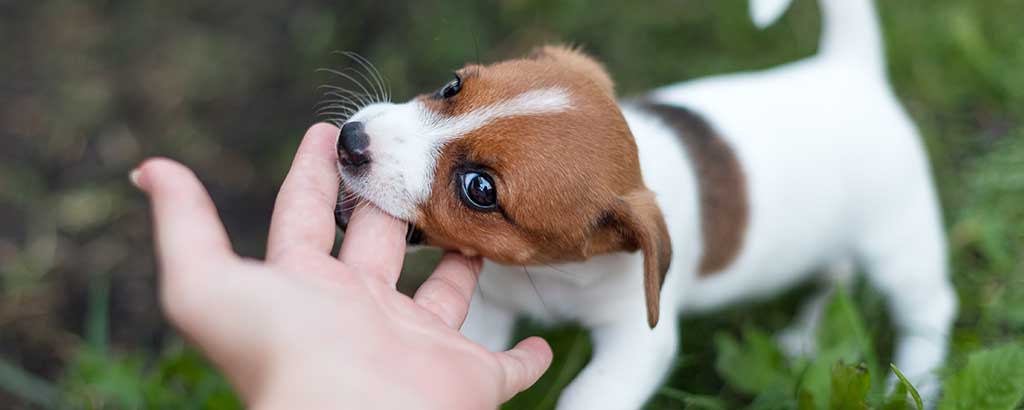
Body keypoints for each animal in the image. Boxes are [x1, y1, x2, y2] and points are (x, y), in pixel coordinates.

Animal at [329, 0, 958, 405]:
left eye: (479, 189)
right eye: (453, 86)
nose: (350, 140)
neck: (552, 273)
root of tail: (851, 70)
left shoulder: (639, 341)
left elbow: (587, 395)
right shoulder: (489, 306)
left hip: (898, 242)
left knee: (929, 306)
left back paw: (913, 382)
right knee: (836, 274)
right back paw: (805, 334)